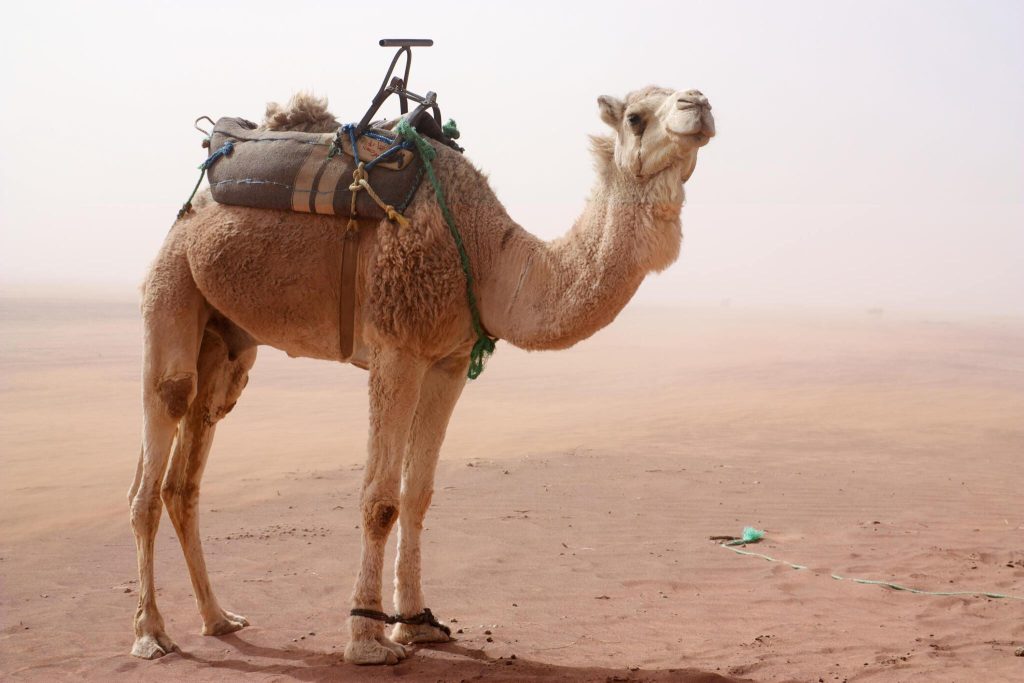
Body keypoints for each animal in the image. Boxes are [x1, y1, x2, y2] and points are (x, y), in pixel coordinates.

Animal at [128, 82, 712, 663]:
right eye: (636, 116)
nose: (699, 104)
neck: (488, 256)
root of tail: (192, 209)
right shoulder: (398, 347)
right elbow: (380, 500)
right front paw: (366, 640)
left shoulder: (448, 362)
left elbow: (419, 494)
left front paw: (415, 624)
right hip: (172, 283)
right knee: (160, 435)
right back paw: (151, 633)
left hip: (227, 343)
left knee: (187, 468)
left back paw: (218, 618)